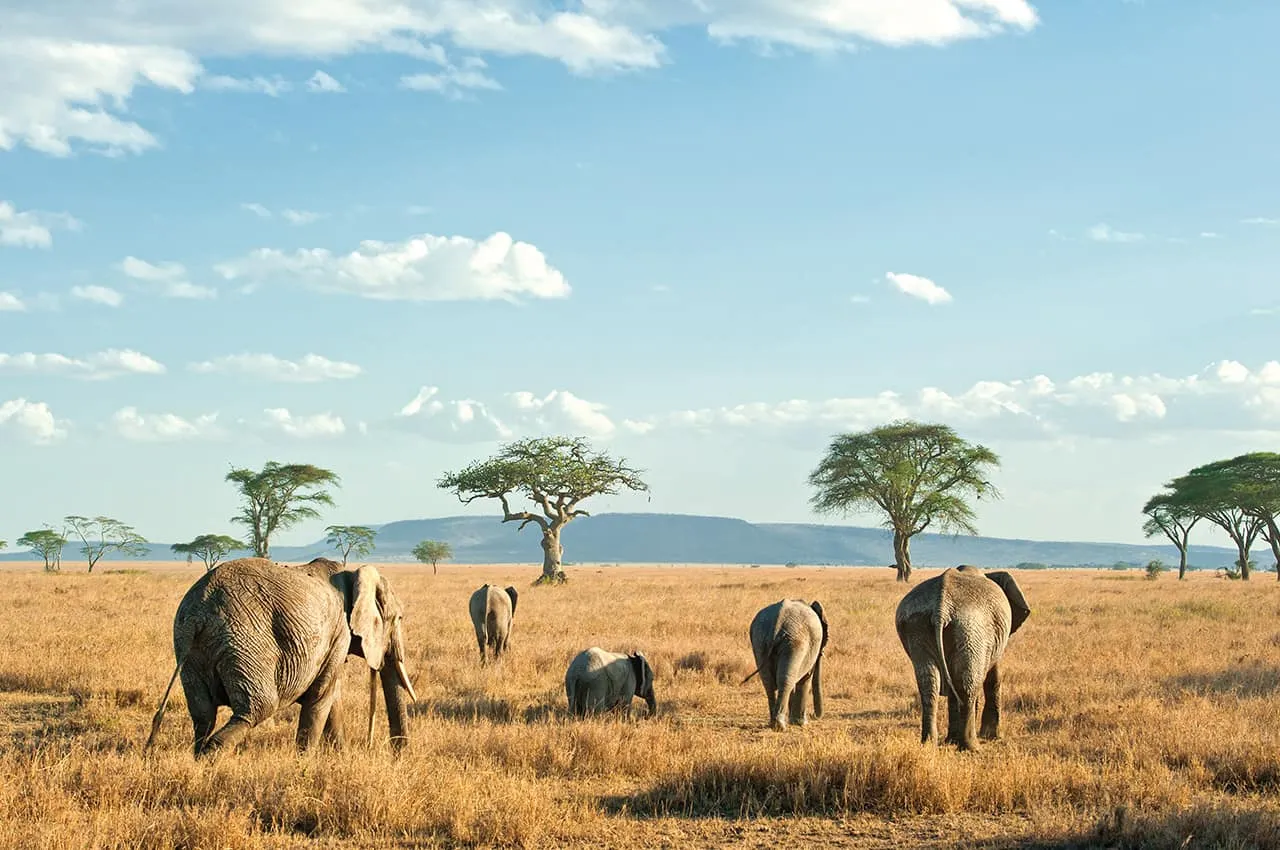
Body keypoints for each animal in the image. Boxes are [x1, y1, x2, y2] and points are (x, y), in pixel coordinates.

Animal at [144, 556, 419, 757]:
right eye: (398, 618)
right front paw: (304, 763)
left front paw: (340, 758)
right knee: (256, 708)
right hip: (246, 642)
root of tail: (198, 614)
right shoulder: (339, 632)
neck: (353, 575)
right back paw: (210, 760)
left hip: (188, 648)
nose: (398, 756)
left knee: (203, 715)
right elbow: (321, 697)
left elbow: (331, 698)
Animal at [745, 598, 828, 731]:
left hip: (760, 639)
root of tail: (776, 624)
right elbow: (805, 679)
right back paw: (780, 726)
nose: (813, 715)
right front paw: (801, 723)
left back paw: (773, 723)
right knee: (785, 680)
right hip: (794, 642)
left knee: (768, 682)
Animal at [894, 564, 1031, 751]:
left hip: (917, 625)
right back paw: (971, 747)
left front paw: (951, 740)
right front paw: (992, 737)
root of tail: (941, 608)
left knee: (929, 683)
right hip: (971, 628)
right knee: (967, 684)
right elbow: (993, 676)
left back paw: (929, 744)